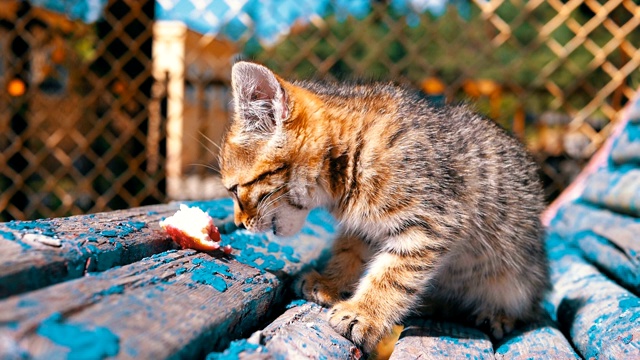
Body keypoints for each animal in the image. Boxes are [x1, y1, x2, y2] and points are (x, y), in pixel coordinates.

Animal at [220, 61, 552, 352]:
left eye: (235, 190)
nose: (239, 223)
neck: (348, 159)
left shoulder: (434, 220)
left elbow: (393, 275)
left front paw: (364, 312)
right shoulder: (363, 226)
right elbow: (350, 252)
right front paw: (332, 282)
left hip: (520, 278)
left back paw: (498, 313)